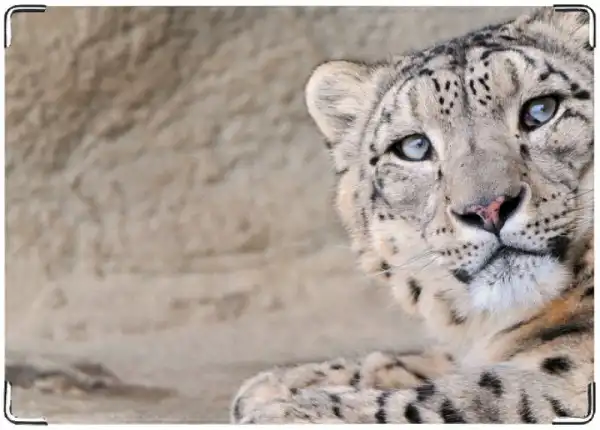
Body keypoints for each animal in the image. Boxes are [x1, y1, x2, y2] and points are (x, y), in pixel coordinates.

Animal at [230, 7, 594, 424]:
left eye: (541, 110)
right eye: (414, 146)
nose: (488, 208)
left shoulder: (569, 377)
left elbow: (469, 397)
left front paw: (283, 409)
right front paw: (285, 382)